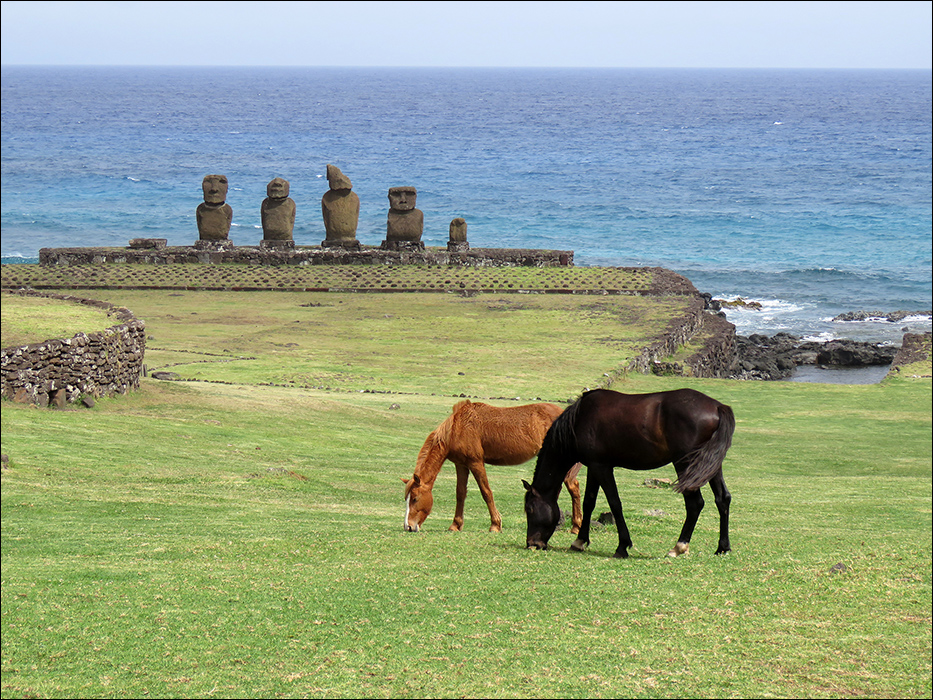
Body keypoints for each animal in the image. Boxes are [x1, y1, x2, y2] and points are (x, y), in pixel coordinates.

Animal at [402, 402, 584, 532]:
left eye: (415, 498)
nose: (408, 526)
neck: (457, 428)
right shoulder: (461, 465)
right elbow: (460, 494)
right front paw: (455, 525)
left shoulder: (476, 462)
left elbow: (486, 492)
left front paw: (495, 525)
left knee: (573, 487)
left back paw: (575, 527)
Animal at [524, 388, 736, 556]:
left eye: (529, 509)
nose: (532, 543)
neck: (579, 420)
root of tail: (718, 407)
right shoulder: (594, 467)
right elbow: (589, 502)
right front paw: (580, 541)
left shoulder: (602, 467)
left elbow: (615, 503)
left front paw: (622, 546)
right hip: (709, 465)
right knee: (722, 499)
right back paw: (722, 547)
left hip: (685, 464)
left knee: (695, 504)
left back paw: (678, 547)